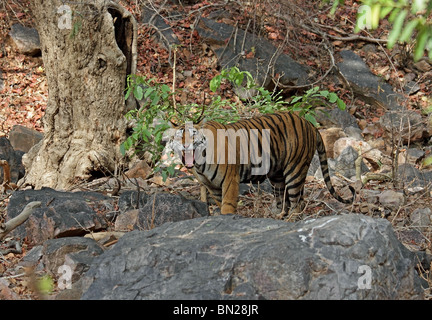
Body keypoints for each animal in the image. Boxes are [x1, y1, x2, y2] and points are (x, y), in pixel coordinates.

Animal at [169, 111, 354, 216]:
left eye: (193, 135)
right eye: (178, 136)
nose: (185, 145)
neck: (200, 164)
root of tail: (309, 123)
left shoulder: (230, 180)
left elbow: (227, 206)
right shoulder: (212, 186)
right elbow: (220, 203)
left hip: (295, 170)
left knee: (297, 203)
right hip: (277, 177)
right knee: (285, 201)